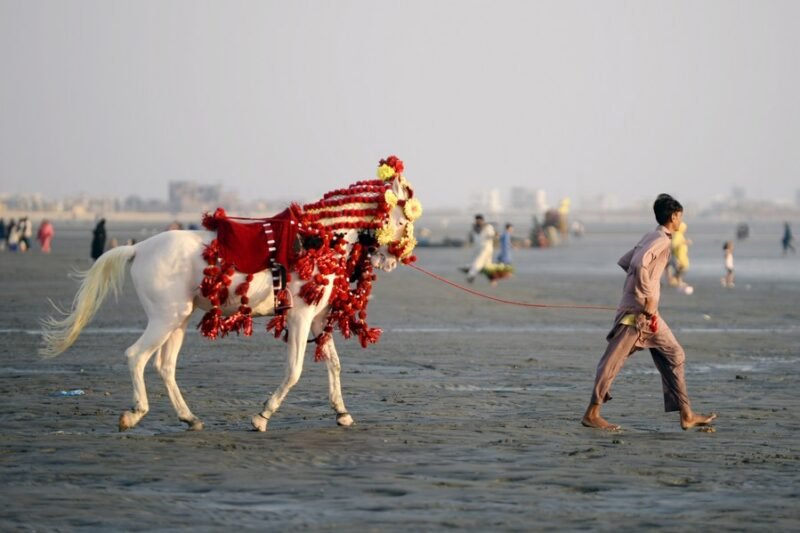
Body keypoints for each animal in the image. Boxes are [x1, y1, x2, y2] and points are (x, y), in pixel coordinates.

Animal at [41, 159, 422, 432]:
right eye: (405, 217)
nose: (396, 259)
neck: (315, 239)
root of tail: (139, 249)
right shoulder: (299, 316)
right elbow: (295, 370)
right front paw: (262, 416)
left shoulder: (315, 319)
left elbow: (333, 363)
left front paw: (341, 412)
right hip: (166, 318)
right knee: (136, 356)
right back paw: (135, 414)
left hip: (179, 319)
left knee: (165, 366)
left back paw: (189, 418)